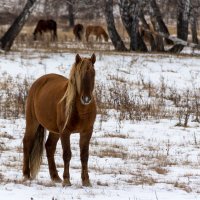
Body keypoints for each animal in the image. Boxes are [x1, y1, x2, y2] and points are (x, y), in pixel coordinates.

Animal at [22, 54, 96, 187]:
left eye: (93, 73)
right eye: (79, 74)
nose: (86, 99)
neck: (80, 110)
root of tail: (39, 82)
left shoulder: (87, 132)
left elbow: (84, 156)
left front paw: (86, 181)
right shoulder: (65, 132)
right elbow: (67, 154)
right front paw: (66, 180)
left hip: (55, 130)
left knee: (49, 147)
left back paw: (55, 177)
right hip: (32, 122)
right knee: (27, 143)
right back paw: (26, 175)